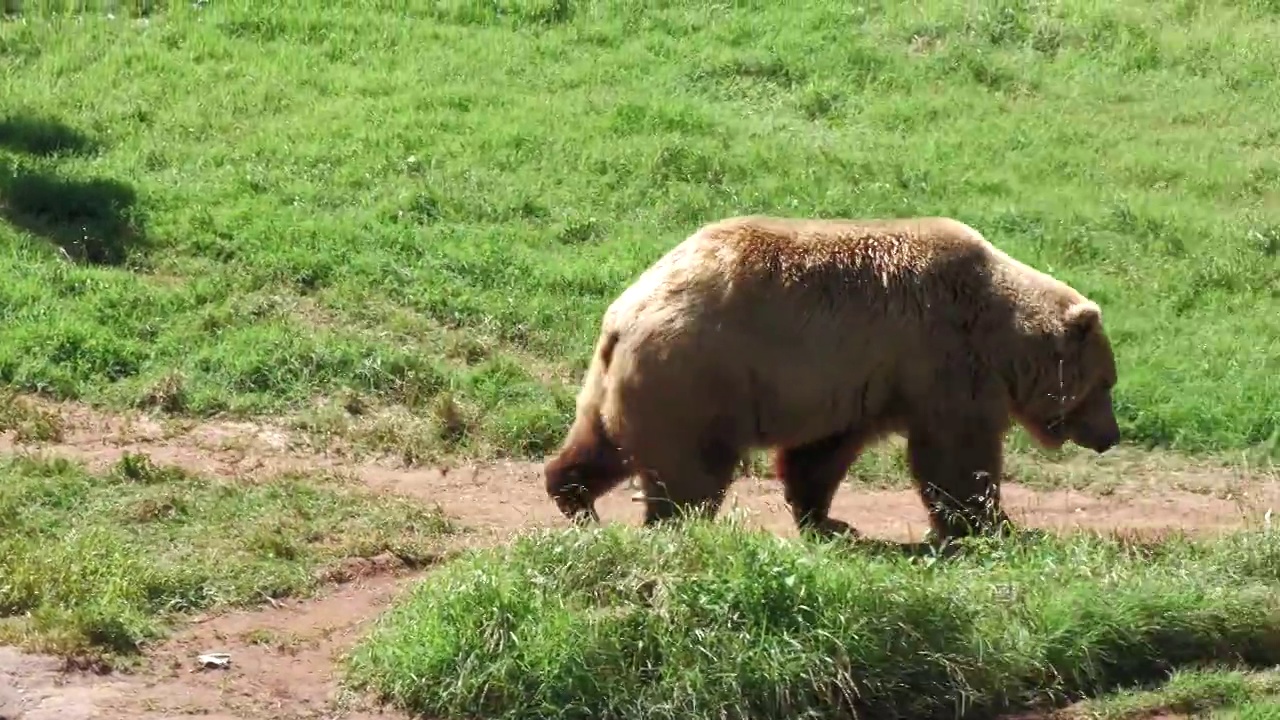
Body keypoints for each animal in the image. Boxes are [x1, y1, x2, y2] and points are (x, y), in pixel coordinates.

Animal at [542, 215, 1121, 540]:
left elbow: (820, 455)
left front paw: (828, 520)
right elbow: (956, 455)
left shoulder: (858, 384)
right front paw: (996, 526)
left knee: (601, 442)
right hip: (696, 378)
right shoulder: (941, 362)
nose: (1110, 437)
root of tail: (627, 311)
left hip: (624, 383)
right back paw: (675, 524)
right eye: (1106, 385)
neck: (999, 333)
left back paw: (575, 497)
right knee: (691, 470)